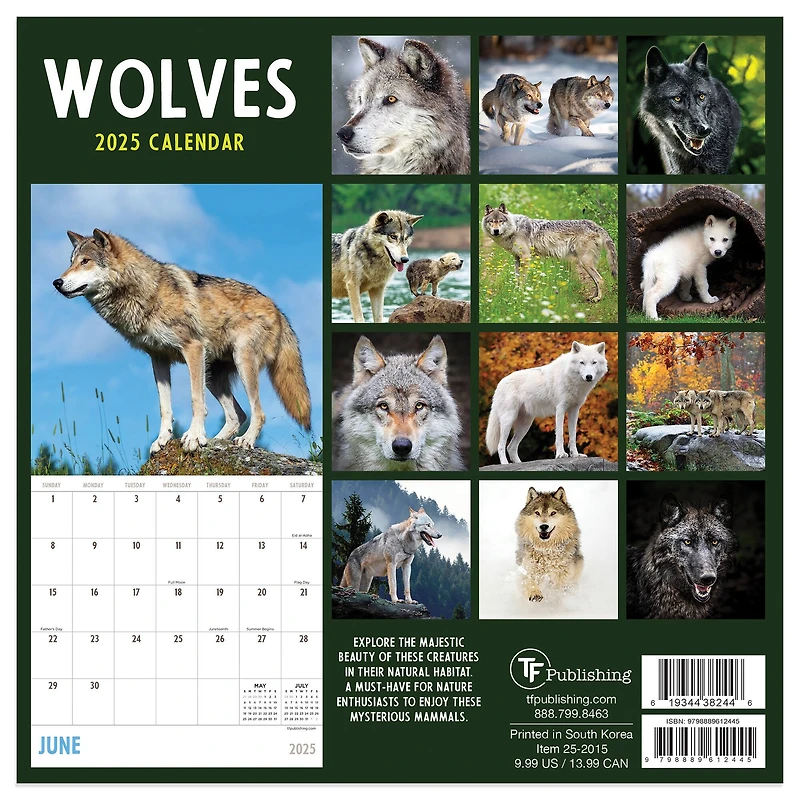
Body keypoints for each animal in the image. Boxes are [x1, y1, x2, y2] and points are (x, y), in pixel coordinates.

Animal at [54, 230, 311, 454]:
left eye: (85, 261)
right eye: (71, 261)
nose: (57, 282)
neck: (148, 292)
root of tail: (277, 309)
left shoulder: (193, 349)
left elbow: (195, 400)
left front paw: (194, 437)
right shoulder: (158, 359)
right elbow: (164, 407)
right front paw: (163, 440)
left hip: (241, 362)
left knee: (258, 412)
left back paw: (245, 441)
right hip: (213, 376)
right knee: (238, 415)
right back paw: (216, 441)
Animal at [483, 203, 617, 301]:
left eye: (500, 221)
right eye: (491, 221)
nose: (496, 231)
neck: (515, 228)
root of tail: (595, 225)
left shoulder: (526, 257)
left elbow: (523, 279)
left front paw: (521, 293)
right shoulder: (517, 259)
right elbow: (517, 278)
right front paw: (516, 291)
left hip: (585, 262)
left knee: (600, 280)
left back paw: (598, 299)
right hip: (587, 264)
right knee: (596, 281)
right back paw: (593, 297)